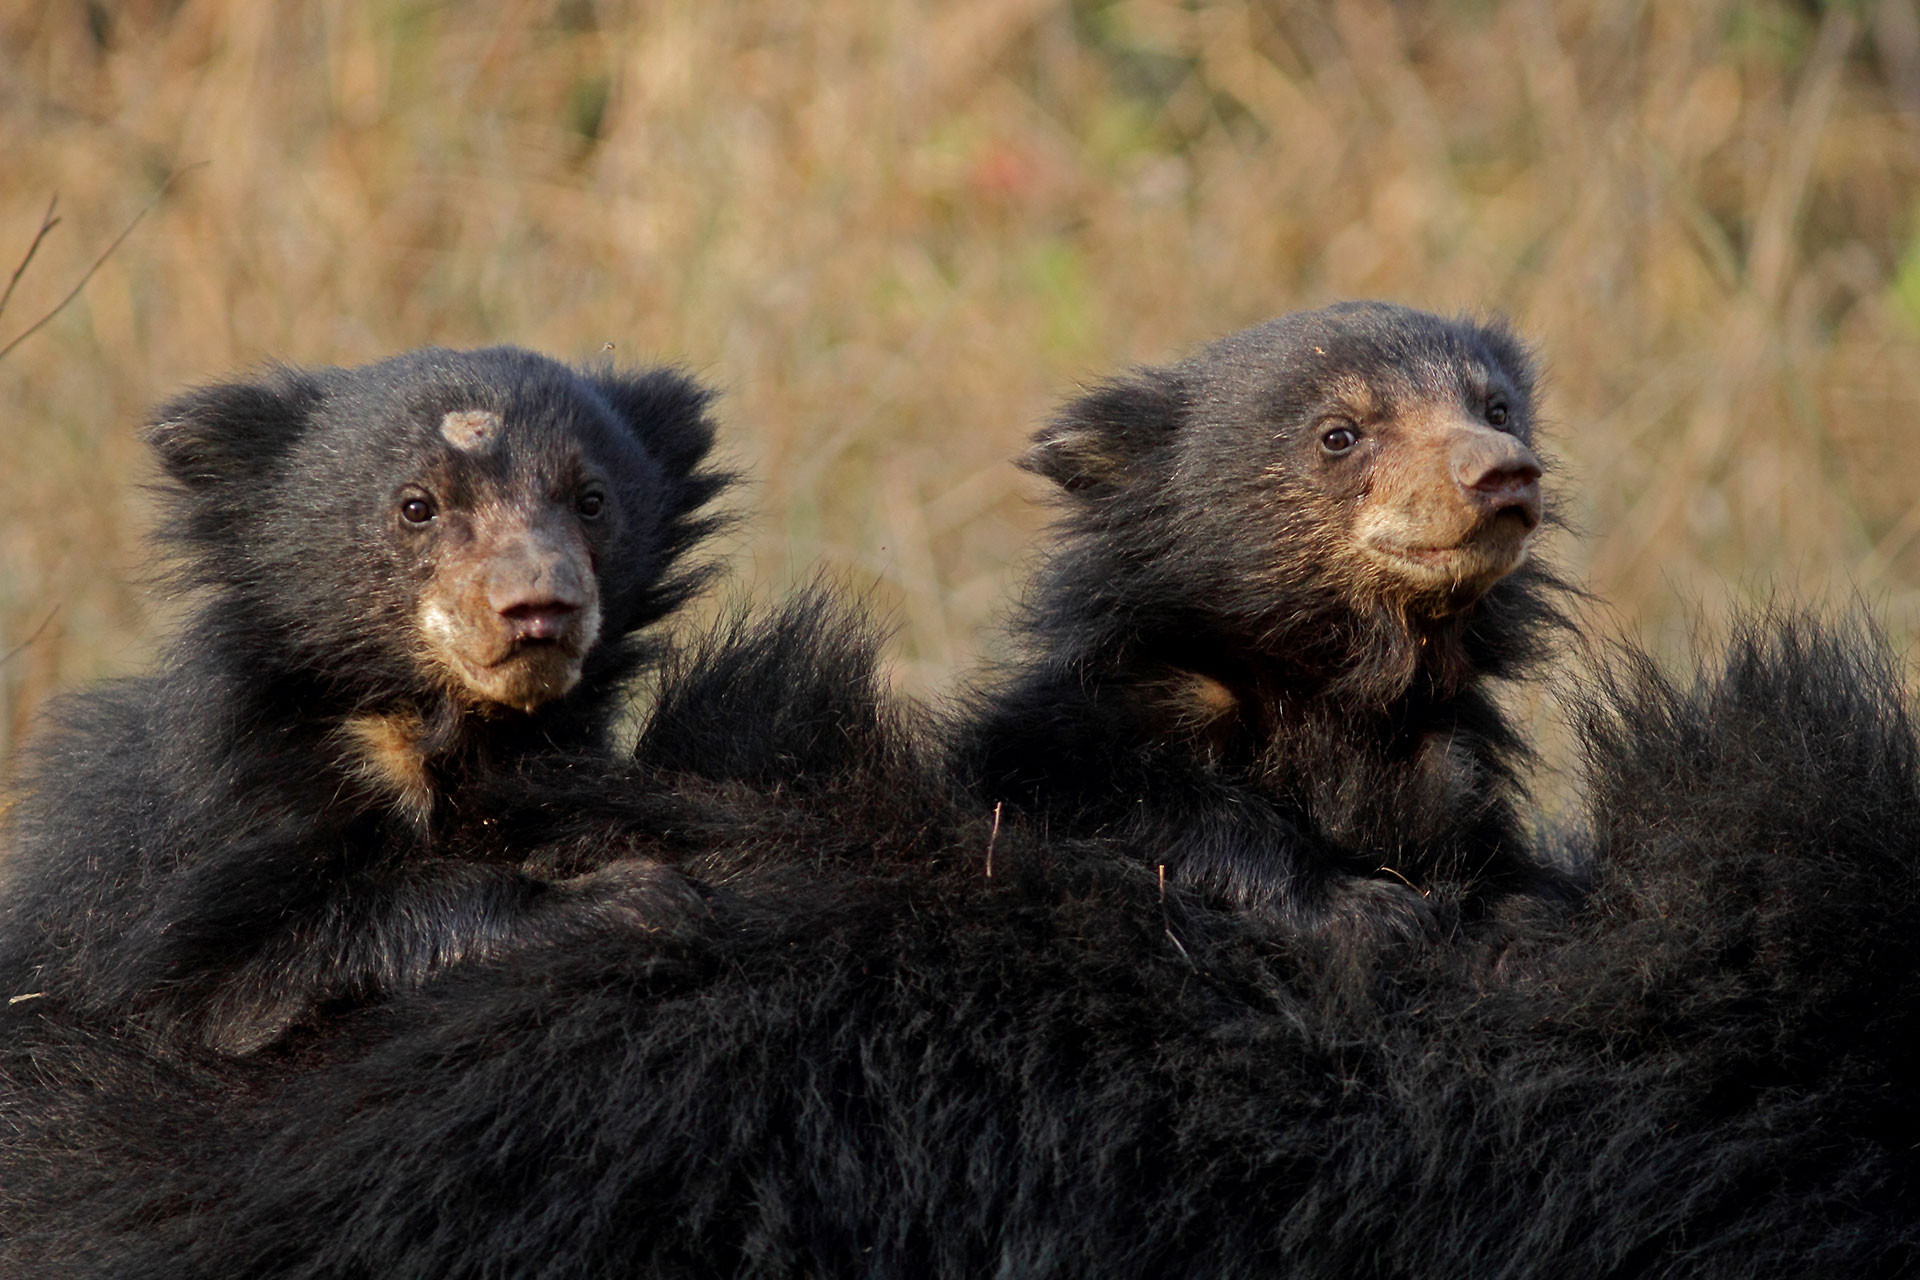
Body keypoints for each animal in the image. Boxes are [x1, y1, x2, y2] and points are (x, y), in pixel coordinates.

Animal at [0, 345, 729, 1055]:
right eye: (417, 507)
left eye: (591, 500)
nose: (539, 606)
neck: (424, 729)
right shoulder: (193, 858)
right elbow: (228, 987)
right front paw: (630, 896)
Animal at [952, 302, 1573, 944]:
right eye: (1339, 435)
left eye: (1496, 410)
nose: (1504, 471)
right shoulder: (1102, 721)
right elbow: (1110, 794)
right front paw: (1373, 907)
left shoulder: (1447, 756)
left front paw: (1516, 909)